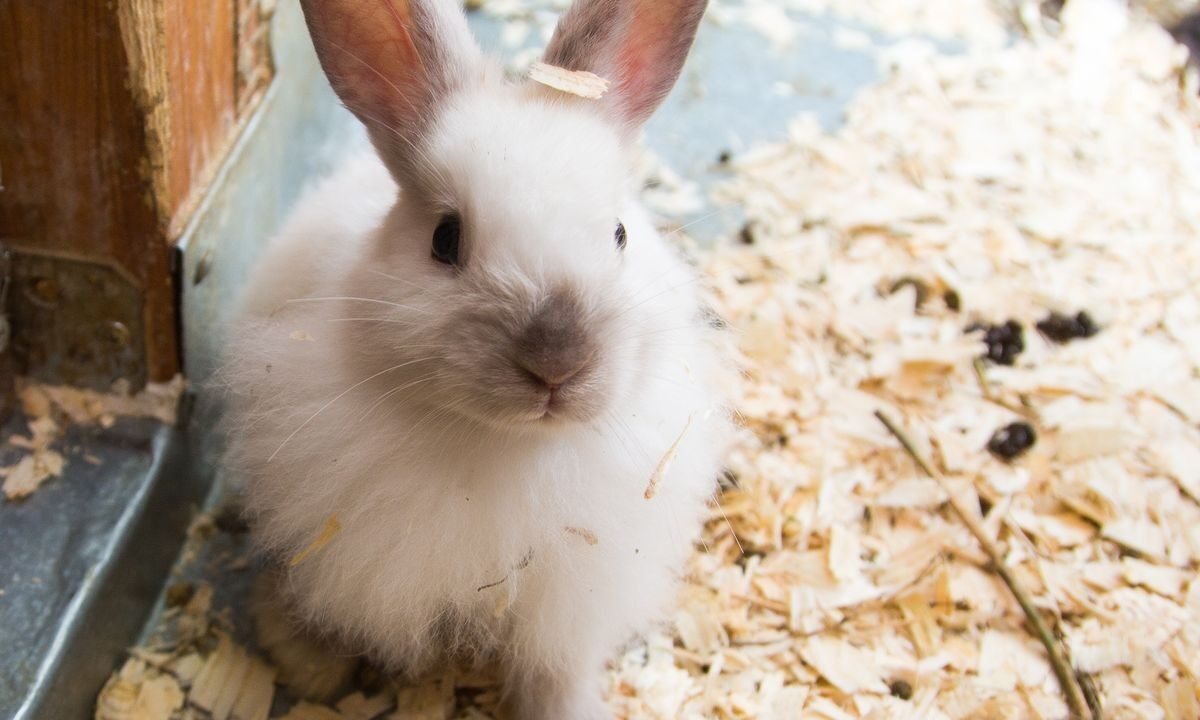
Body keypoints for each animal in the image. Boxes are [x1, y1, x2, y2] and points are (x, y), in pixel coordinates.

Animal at [222, 0, 730, 717]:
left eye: (619, 234)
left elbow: (554, 672)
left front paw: (568, 710)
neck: (507, 448)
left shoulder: (567, 607)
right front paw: (309, 666)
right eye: (445, 239)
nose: (557, 361)